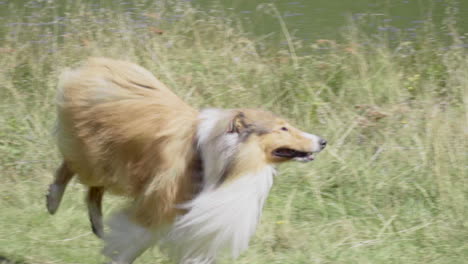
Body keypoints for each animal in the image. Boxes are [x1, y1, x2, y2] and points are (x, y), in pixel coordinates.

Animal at [45, 57, 328, 264]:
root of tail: (97, 63)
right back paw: (53, 200)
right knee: (70, 168)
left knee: (93, 191)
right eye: (283, 128)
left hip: (113, 165)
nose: (323, 141)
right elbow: (132, 242)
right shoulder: (158, 205)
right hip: (98, 158)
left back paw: (96, 224)